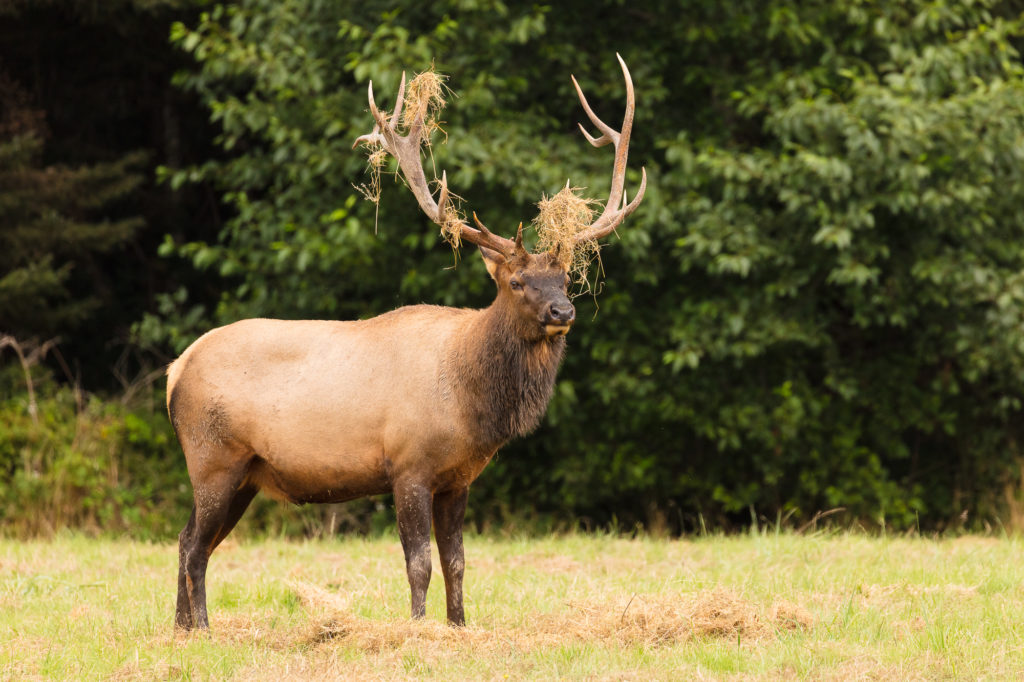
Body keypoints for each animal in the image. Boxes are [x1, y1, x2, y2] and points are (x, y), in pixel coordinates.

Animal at [171, 55, 643, 630]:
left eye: (567, 278)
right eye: (516, 282)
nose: (563, 312)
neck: (471, 401)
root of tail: (176, 369)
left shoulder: (458, 478)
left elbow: (457, 561)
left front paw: (459, 625)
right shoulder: (408, 465)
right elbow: (419, 563)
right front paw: (418, 626)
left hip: (241, 474)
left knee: (186, 540)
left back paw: (179, 628)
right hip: (214, 457)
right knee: (196, 547)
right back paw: (204, 627)